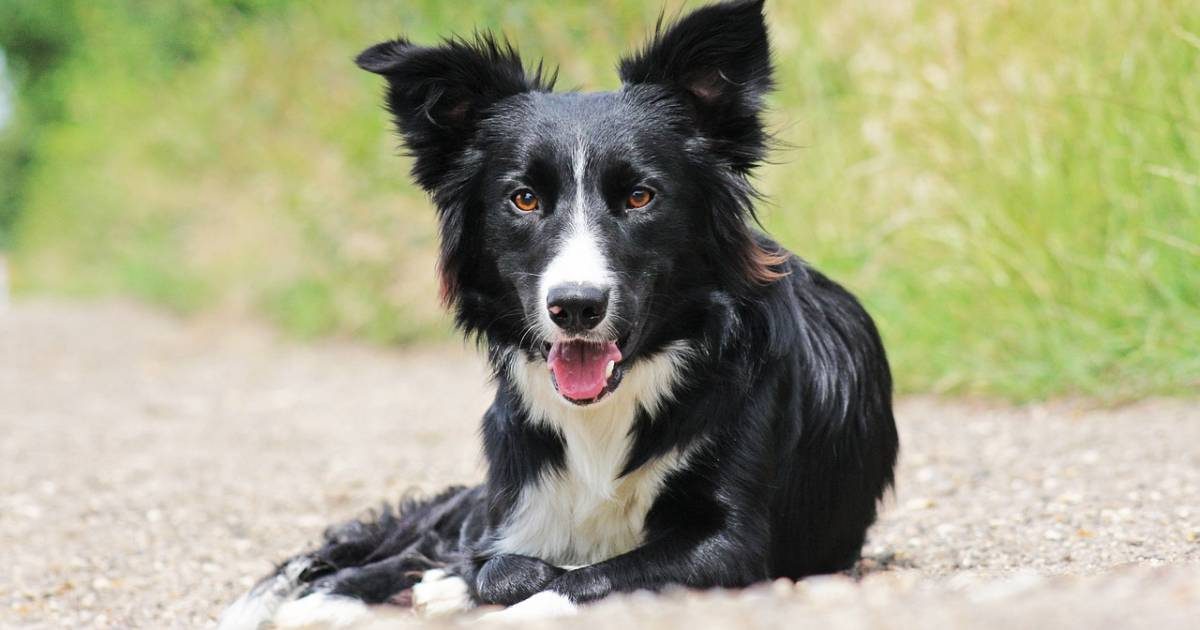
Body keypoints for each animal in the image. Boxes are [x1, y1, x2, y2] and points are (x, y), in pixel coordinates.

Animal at [216, 2, 897, 624]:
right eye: (523, 199)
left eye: (640, 196)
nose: (576, 307)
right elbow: (493, 561)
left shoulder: (732, 543)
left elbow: (585, 575)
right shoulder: (513, 503)